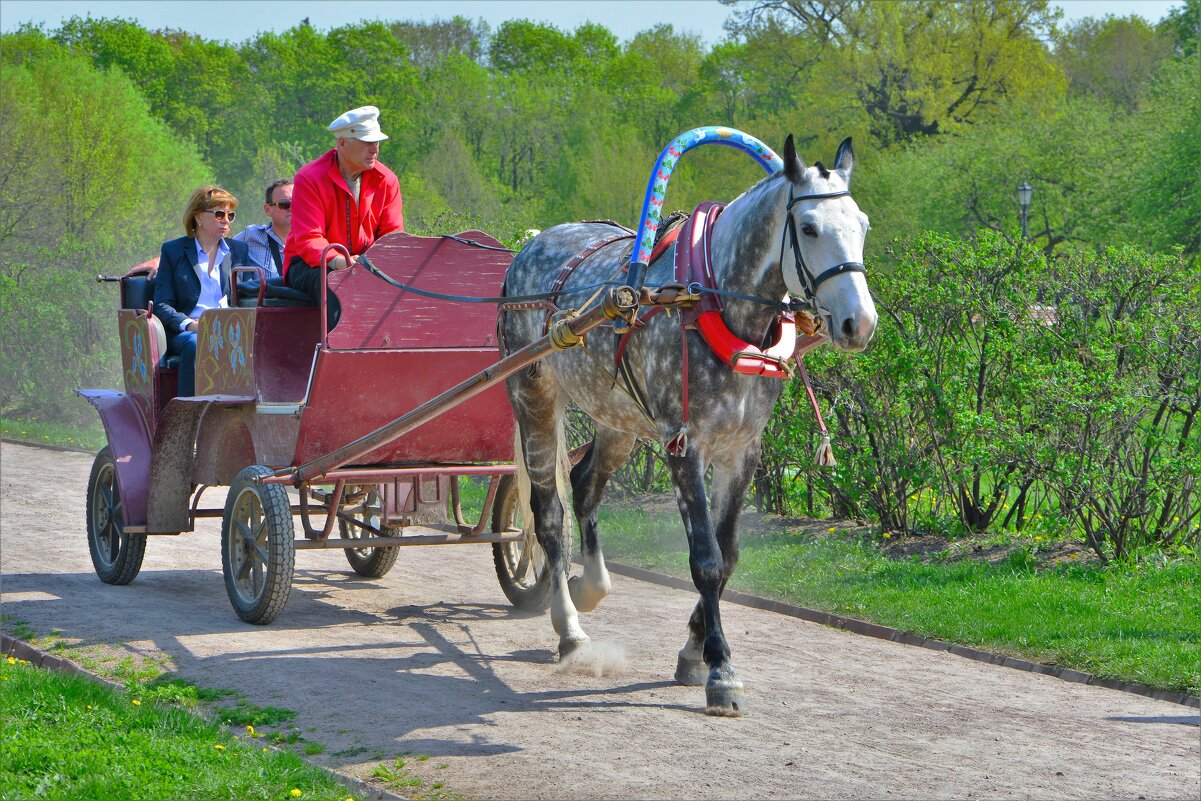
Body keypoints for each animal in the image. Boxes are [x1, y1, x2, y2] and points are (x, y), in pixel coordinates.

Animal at [494, 134, 874, 715]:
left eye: (863, 224)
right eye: (808, 228)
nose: (861, 322)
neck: (714, 299)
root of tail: (533, 244)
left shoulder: (743, 451)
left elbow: (729, 554)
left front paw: (695, 648)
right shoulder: (684, 446)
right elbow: (706, 561)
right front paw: (720, 669)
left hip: (619, 420)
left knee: (584, 486)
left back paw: (592, 586)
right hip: (533, 398)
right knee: (549, 515)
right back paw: (570, 629)